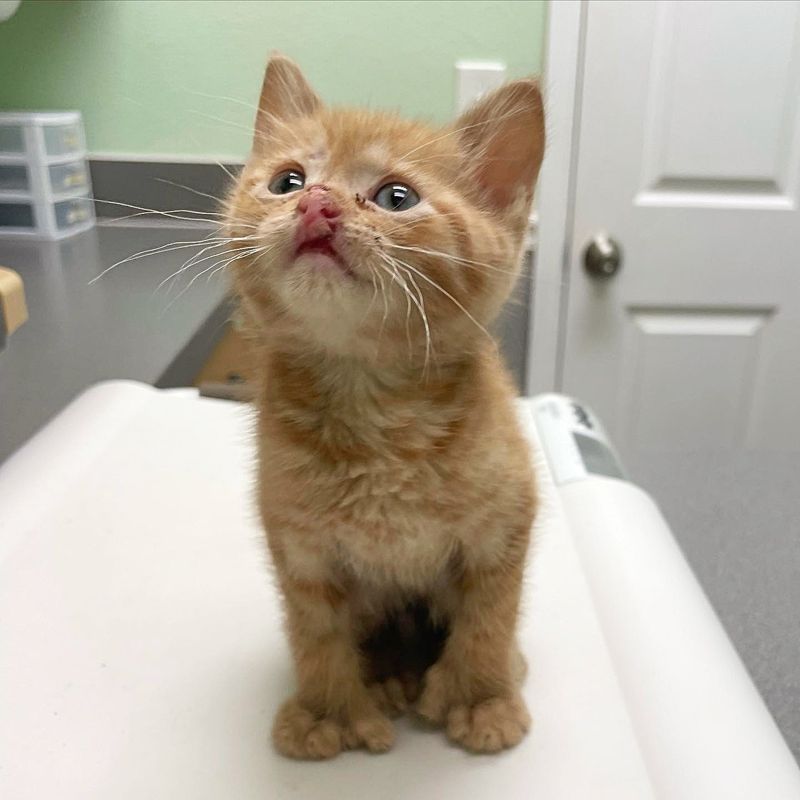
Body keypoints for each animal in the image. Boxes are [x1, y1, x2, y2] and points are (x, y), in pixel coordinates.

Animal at [227, 54, 544, 756]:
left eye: (396, 197)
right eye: (288, 181)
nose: (316, 204)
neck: (372, 413)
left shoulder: (504, 524)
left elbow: (490, 617)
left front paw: (482, 699)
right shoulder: (300, 544)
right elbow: (315, 632)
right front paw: (328, 711)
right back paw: (390, 678)